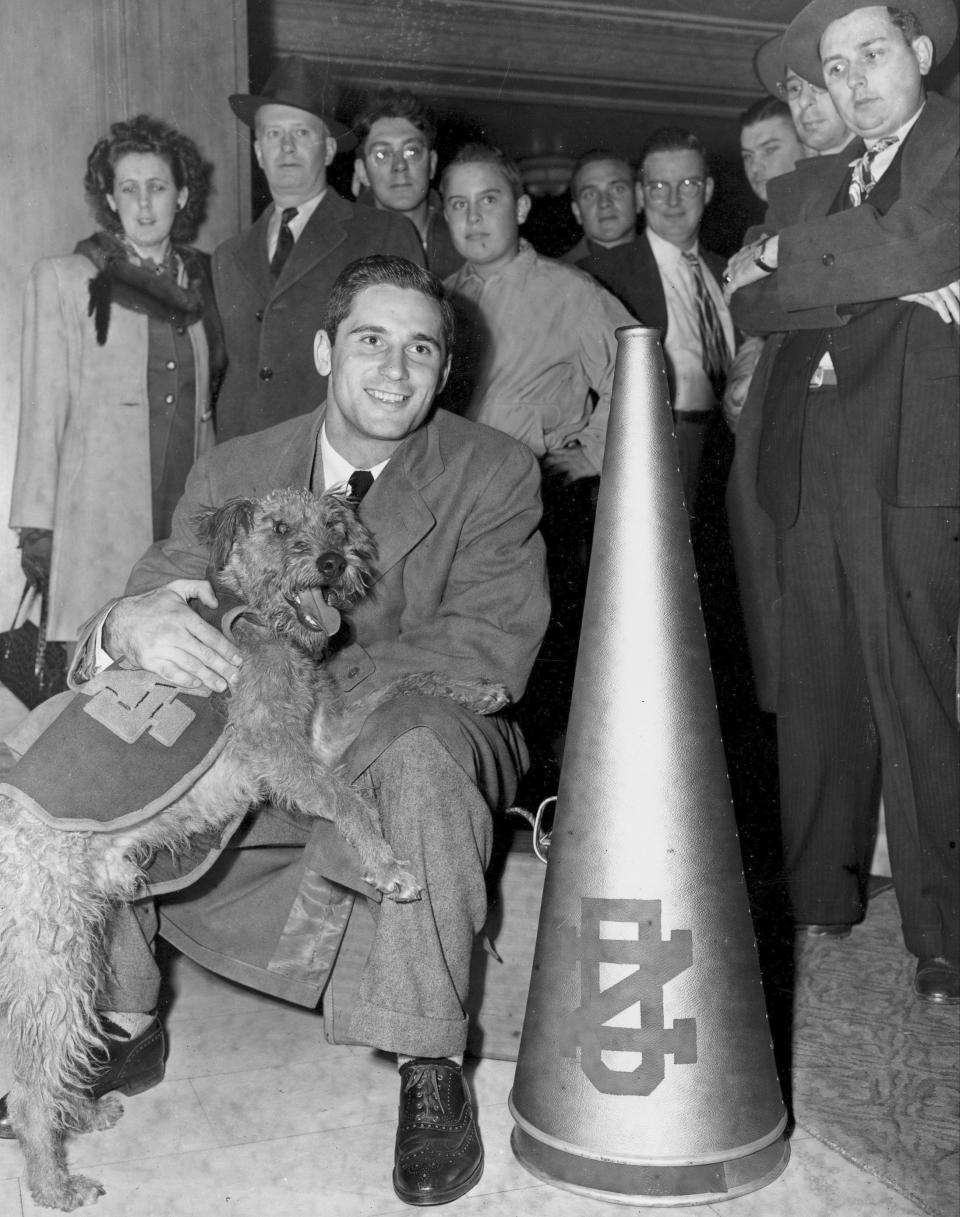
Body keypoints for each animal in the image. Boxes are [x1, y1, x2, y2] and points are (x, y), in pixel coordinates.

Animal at [0, 484, 508, 1207]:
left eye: (335, 523)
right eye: (278, 527)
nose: (332, 562)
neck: (259, 616)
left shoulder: (323, 733)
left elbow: (400, 683)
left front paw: (477, 688)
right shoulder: (281, 752)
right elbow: (351, 800)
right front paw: (388, 866)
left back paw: (85, 1115)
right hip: (53, 960)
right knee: (30, 1083)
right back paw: (54, 1184)